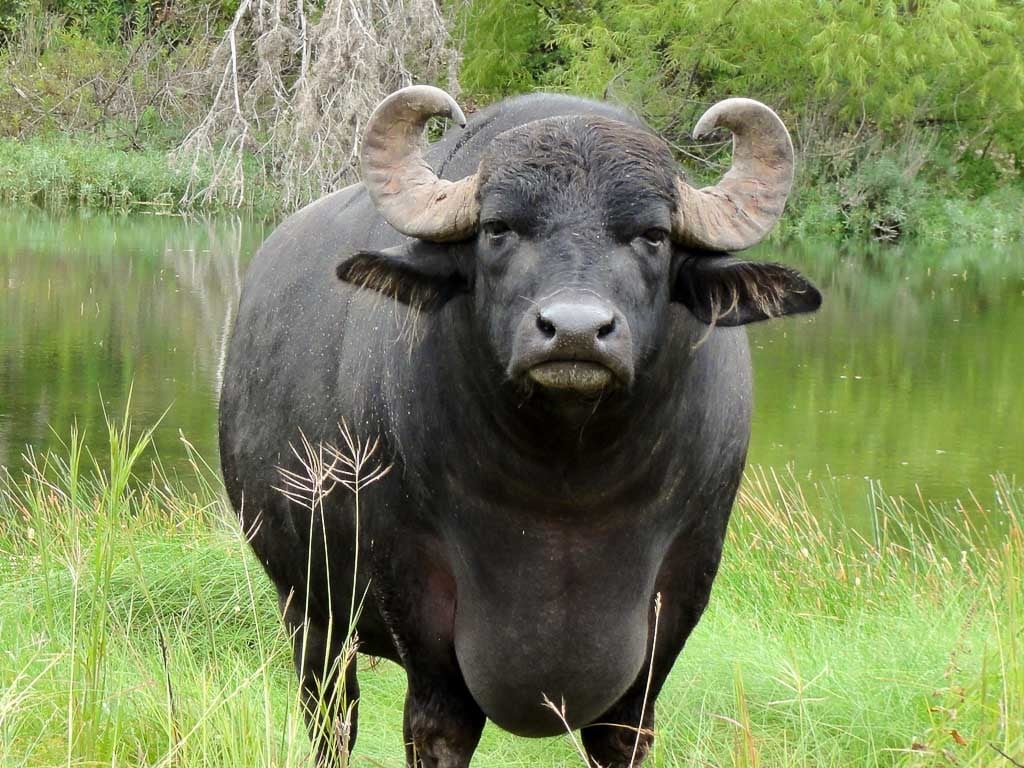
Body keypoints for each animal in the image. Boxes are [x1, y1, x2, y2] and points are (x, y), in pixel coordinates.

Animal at [218, 87, 823, 765]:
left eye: (654, 236)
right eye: (498, 229)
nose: (576, 331)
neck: (565, 491)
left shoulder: (678, 599)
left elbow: (621, 733)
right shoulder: (415, 599)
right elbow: (439, 728)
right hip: (310, 614)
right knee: (331, 721)